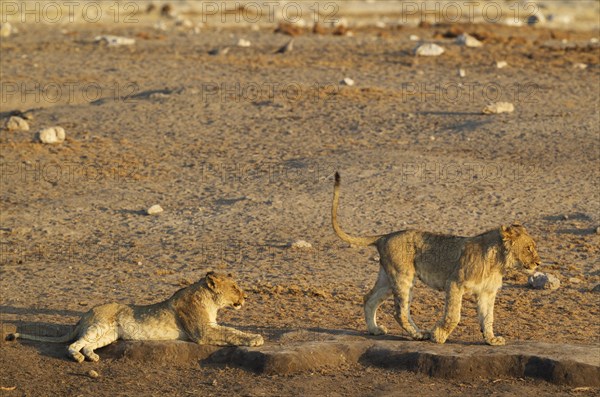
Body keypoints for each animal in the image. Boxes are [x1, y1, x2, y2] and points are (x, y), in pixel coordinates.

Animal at [7, 270, 264, 360]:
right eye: (235, 287)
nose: (246, 297)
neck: (210, 301)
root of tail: (84, 313)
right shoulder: (202, 331)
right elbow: (231, 333)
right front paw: (256, 338)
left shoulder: (209, 327)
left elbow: (230, 330)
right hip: (99, 326)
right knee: (73, 345)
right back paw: (78, 358)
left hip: (109, 335)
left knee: (88, 345)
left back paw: (92, 357)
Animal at [330, 172, 540, 344]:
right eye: (529, 248)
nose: (538, 263)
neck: (498, 263)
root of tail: (385, 236)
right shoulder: (454, 283)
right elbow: (454, 315)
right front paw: (438, 336)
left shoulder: (487, 292)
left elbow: (488, 317)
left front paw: (491, 339)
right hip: (403, 277)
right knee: (400, 312)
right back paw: (419, 334)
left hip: (387, 278)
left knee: (369, 298)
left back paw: (374, 329)